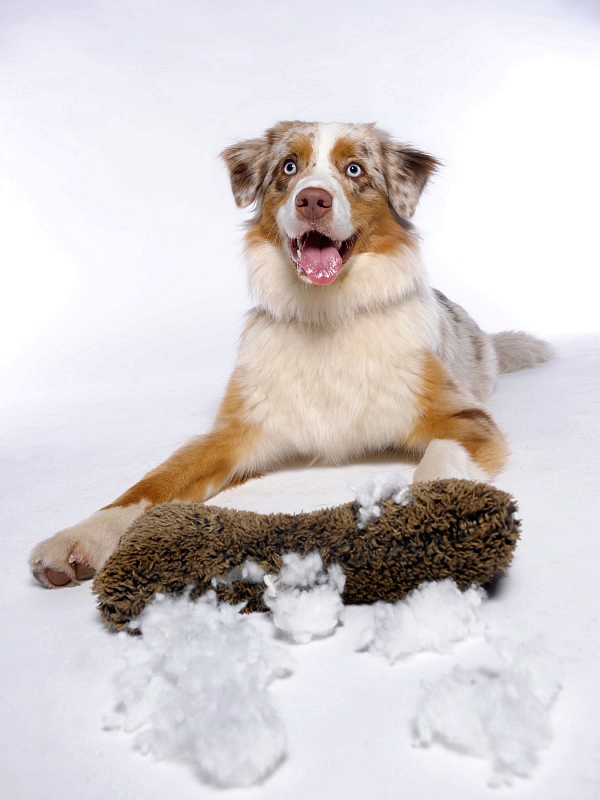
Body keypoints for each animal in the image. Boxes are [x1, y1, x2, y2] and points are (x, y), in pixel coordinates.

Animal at [28, 123, 552, 588]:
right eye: (289, 167)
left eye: (355, 169)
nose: (313, 199)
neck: (326, 317)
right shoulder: (233, 432)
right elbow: (152, 483)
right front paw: (83, 536)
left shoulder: (465, 418)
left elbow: (435, 465)